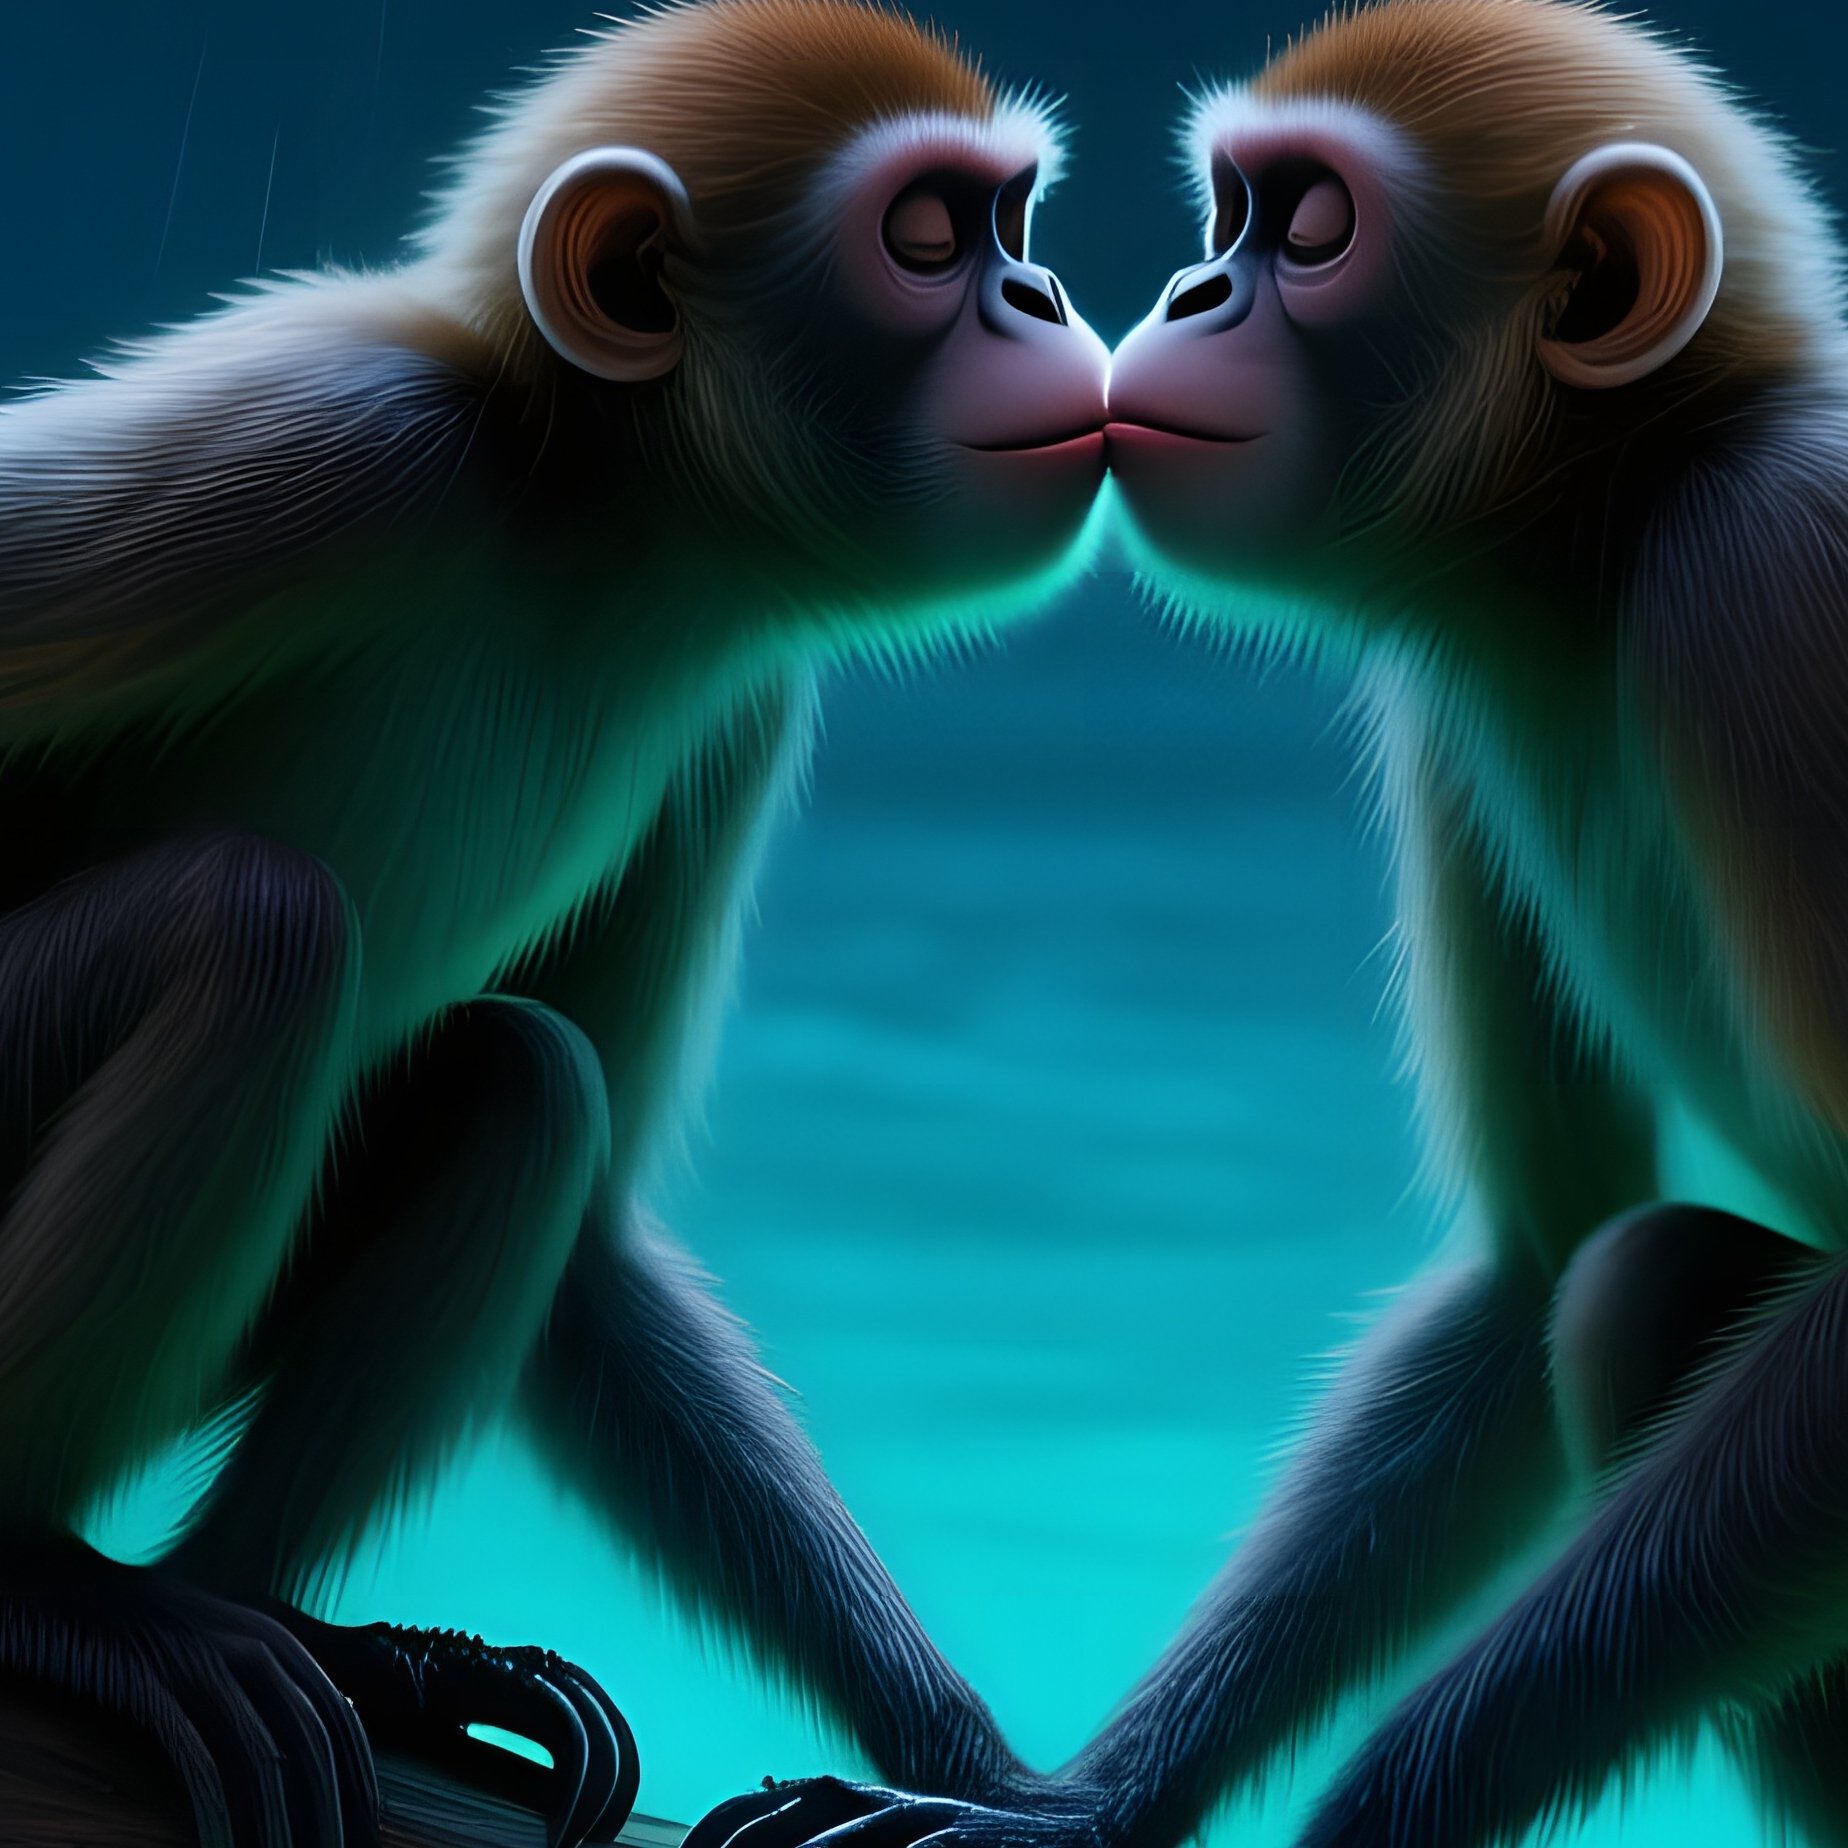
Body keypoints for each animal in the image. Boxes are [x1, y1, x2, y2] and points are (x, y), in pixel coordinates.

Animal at [0, 4, 1110, 1844]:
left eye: (1012, 224)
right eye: (931, 237)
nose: (1038, 297)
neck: (588, 523)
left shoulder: (738, 693)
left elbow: (590, 1227)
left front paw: (997, 1779)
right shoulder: (333, 444)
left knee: (525, 1077)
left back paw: (313, 1635)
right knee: (260, 926)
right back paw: (48, 1588)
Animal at [699, 3, 1848, 1847]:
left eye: (1302, 227)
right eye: (1226, 213)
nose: (1184, 292)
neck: (1637, 508)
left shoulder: (1775, 575)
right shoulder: (1467, 673)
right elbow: (1536, 1257)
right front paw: (1090, 1802)